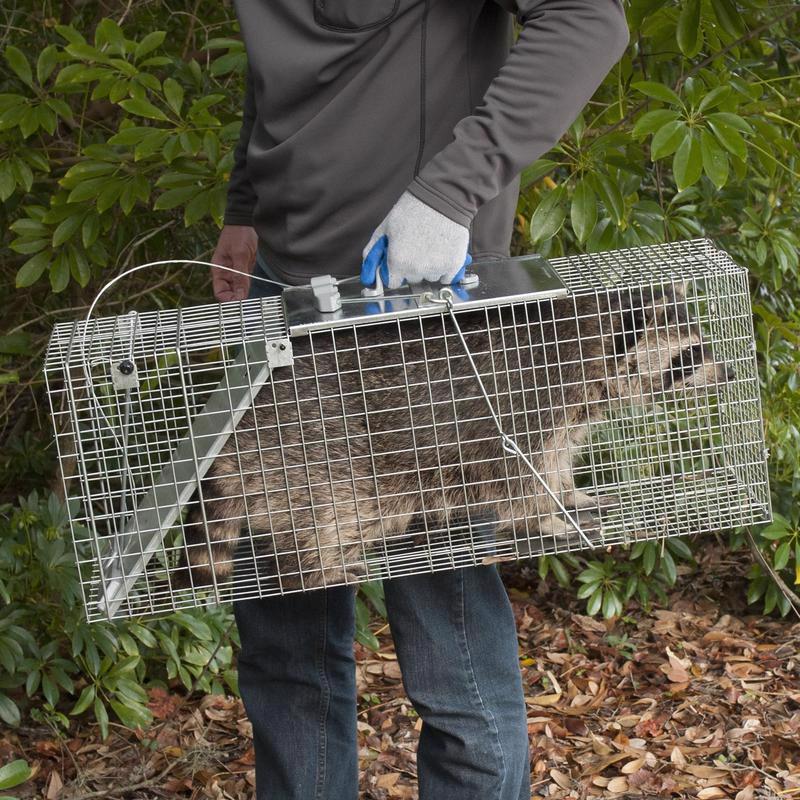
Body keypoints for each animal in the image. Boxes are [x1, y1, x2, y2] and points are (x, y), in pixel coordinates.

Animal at [174, 284, 732, 592]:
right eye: (691, 355)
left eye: (703, 345)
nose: (727, 372)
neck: (586, 347)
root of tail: (233, 437)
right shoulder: (520, 407)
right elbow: (518, 480)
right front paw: (548, 518)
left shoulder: (568, 416)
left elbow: (555, 465)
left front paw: (569, 494)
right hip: (308, 454)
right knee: (326, 517)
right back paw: (315, 567)